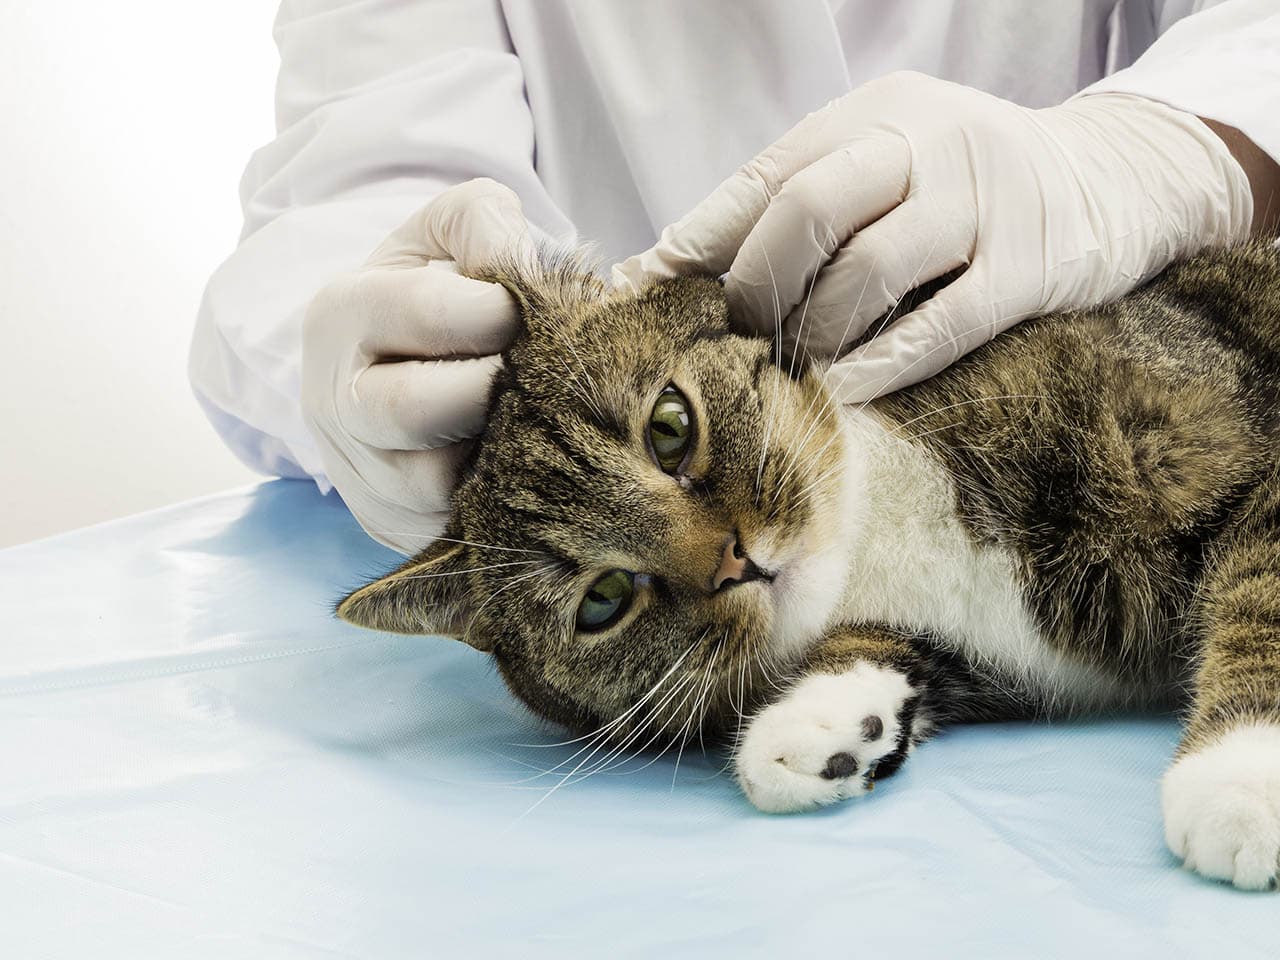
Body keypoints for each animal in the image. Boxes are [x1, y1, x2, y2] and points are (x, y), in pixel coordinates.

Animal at [335, 241, 1280, 896]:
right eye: (602, 601)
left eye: (670, 427)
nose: (735, 562)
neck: (879, 522)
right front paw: (822, 724)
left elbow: (1262, 596)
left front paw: (1241, 775)